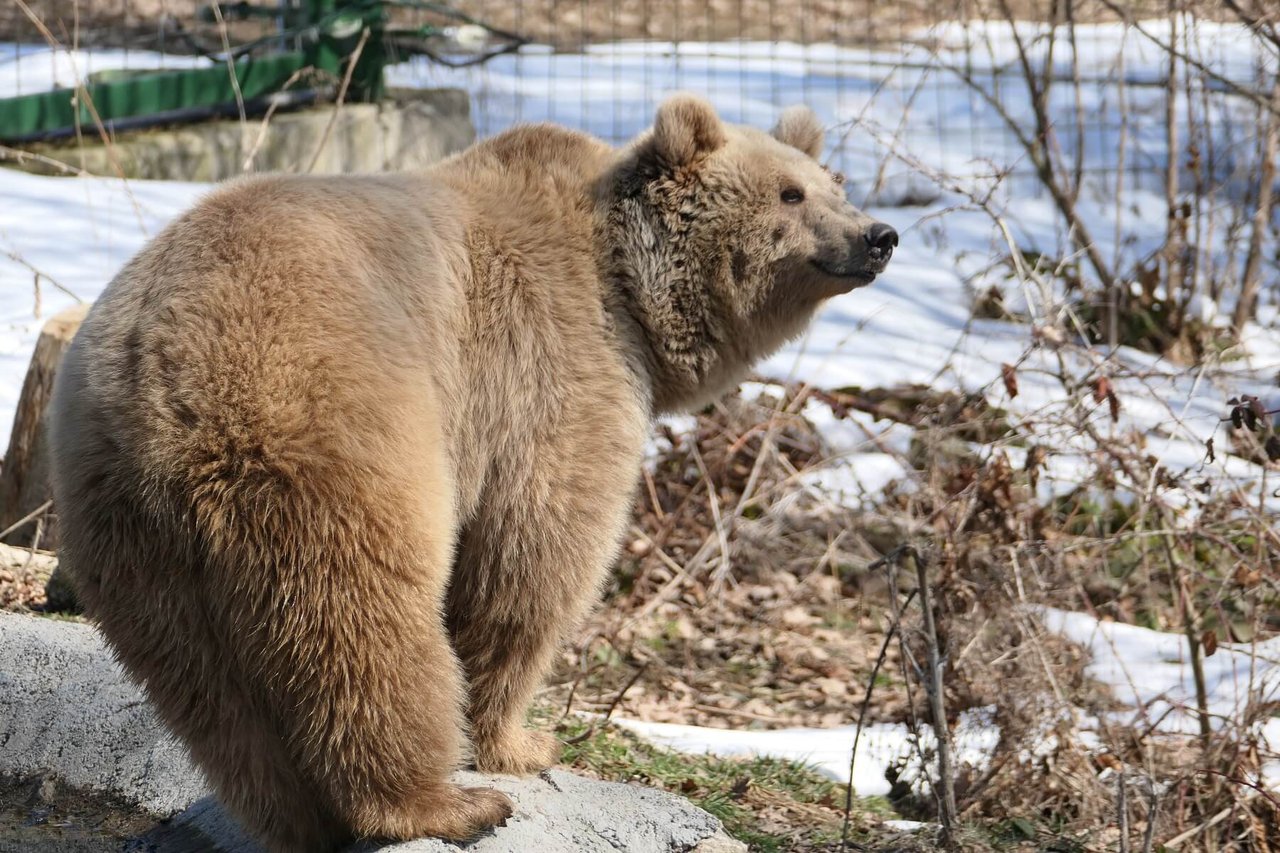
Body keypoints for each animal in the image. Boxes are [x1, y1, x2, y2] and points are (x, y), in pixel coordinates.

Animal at [47, 94, 890, 850]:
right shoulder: (554, 368)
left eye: (834, 180)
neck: (627, 282)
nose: (878, 235)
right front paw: (523, 742)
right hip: (326, 434)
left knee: (209, 693)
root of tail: (159, 379)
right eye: (790, 192)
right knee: (361, 623)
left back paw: (299, 819)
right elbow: (533, 558)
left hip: (126, 528)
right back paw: (439, 802)